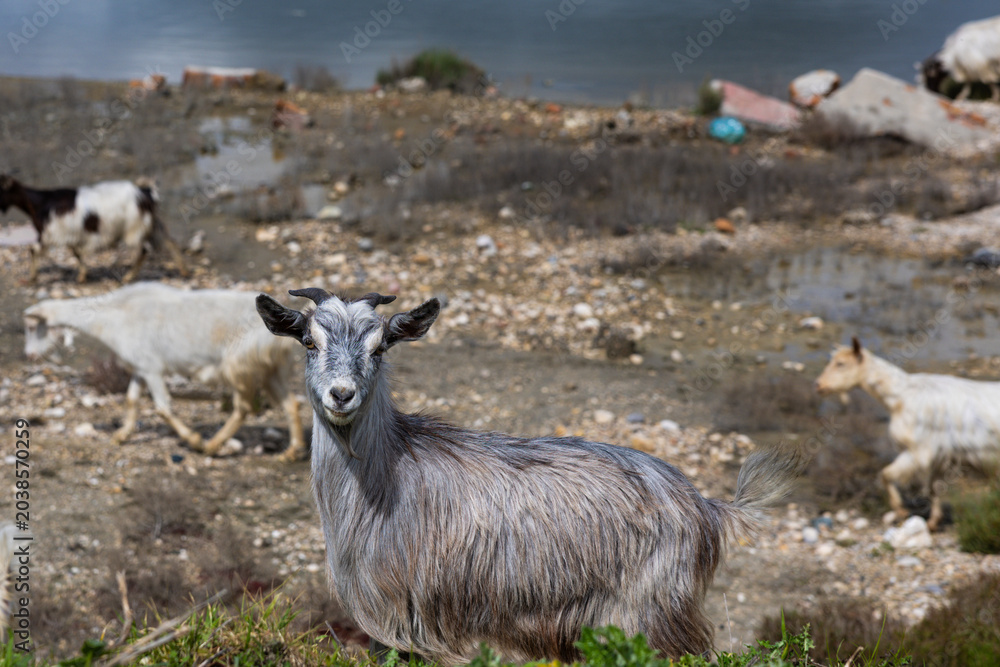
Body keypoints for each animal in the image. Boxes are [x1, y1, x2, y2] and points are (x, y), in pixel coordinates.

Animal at [0, 174, 188, 284]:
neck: (39, 202)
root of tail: (145, 192)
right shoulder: (69, 234)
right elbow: (76, 253)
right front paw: (82, 276)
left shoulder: (50, 234)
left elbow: (33, 249)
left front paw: (32, 278)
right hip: (151, 224)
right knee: (169, 242)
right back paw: (183, 270)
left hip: (135, 228)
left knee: (143, 250)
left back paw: (128, 277)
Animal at [24, 283, 306, 461]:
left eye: (34, 327)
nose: (30, 355)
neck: (113, 316)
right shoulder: (140, 368)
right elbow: (131, 399)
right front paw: (121, 435)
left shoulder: (152, 369)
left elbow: (162, 407)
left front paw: (193, 439)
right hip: (270, 369)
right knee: (290, 403)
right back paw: (291, 452)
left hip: (238, 365)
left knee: (244, 407)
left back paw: (211, 445)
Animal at [255, 287, 802, 663]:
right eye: (308, 342)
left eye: (380, 348)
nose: (342, 395)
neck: (388, 475)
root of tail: (709, 507)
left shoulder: (417, 622)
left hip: (654, 615)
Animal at [815, 337, 1000, 531]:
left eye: (841, 363)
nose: (819, 385)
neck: (901, 396)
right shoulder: (940, 456)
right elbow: (933, 488)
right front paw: (933, 522)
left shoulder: (919, 451)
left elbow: (886, 474)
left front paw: (900, 510)